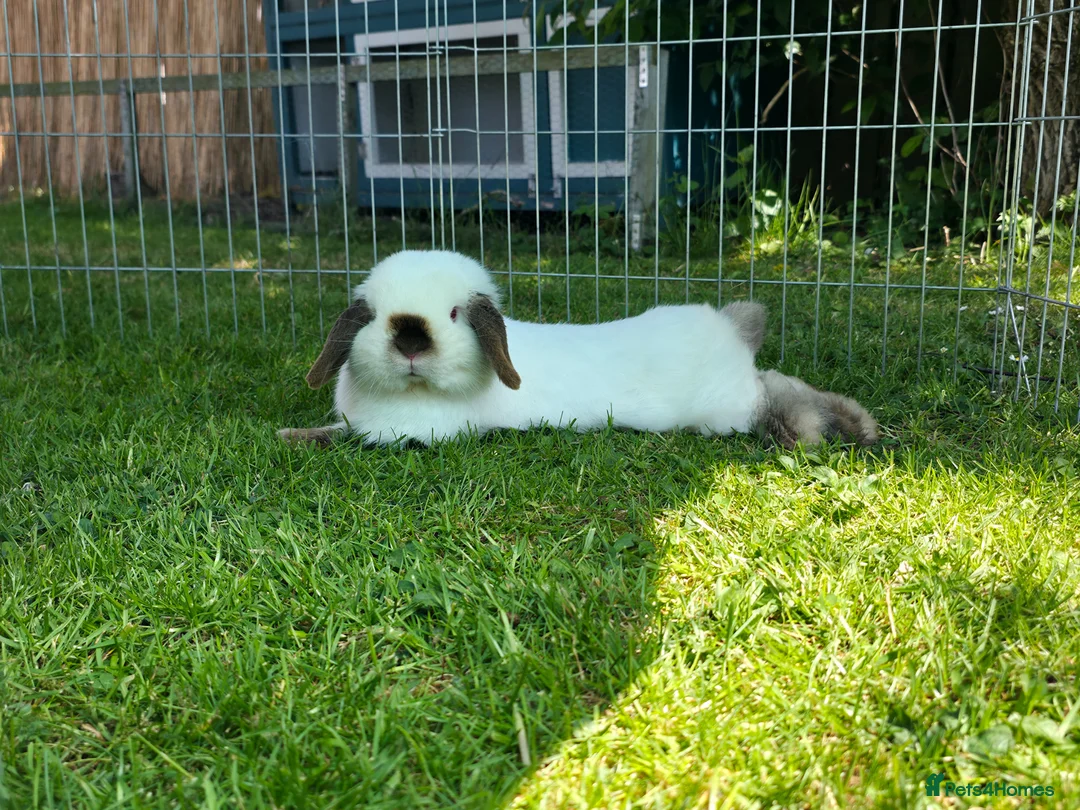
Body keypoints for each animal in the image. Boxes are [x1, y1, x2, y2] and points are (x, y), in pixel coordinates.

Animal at [278, 250, 878, 449]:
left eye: (452, 315)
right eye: (375, 316)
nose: (409, 342)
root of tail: (731, 328)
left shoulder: (399, 436)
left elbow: (336, 437)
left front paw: (290, 437)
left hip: (725, 410)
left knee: (774, 399)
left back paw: (816, 432)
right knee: (781, 383)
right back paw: (858, 425)